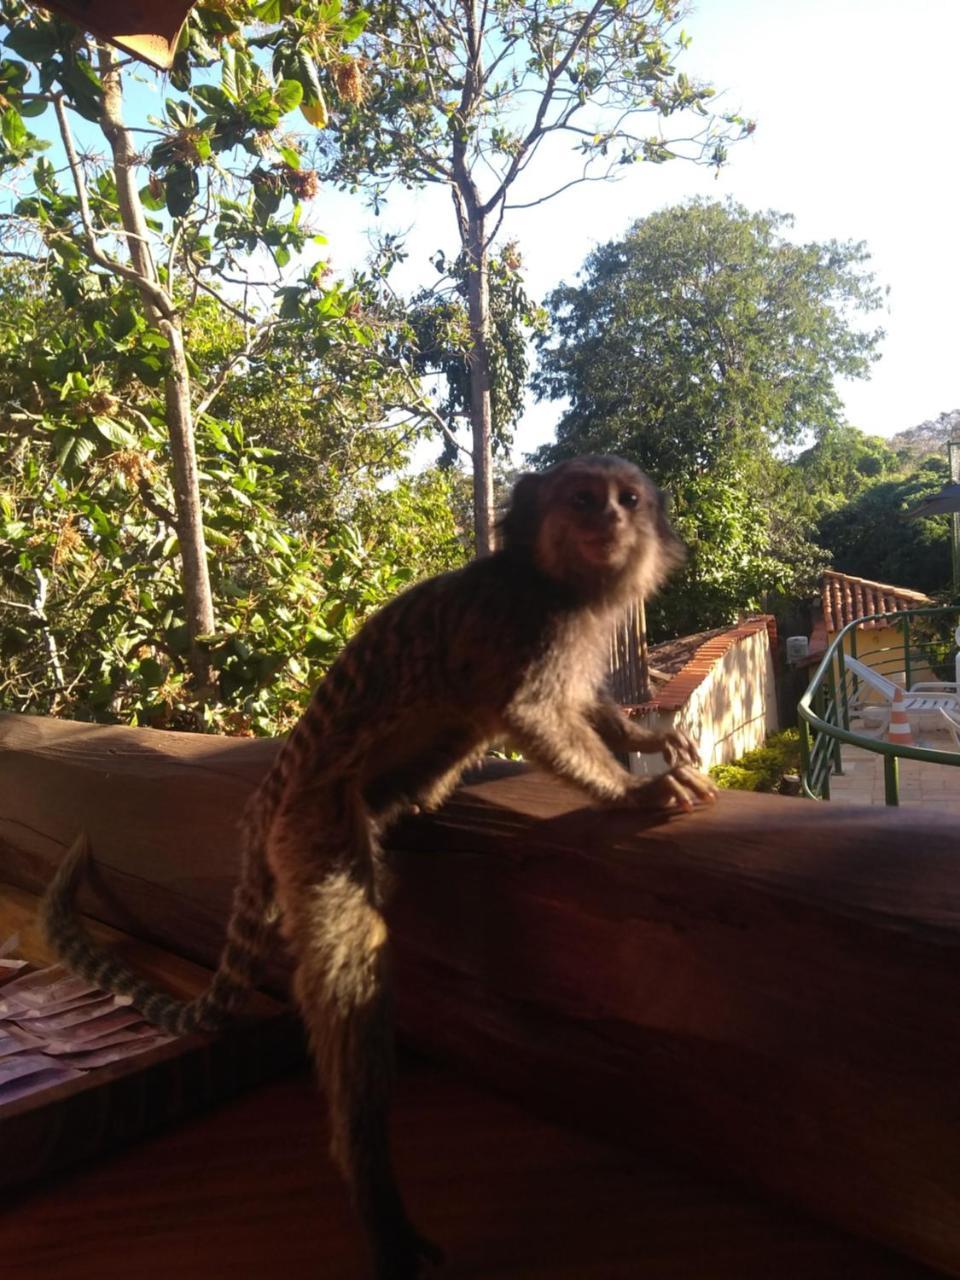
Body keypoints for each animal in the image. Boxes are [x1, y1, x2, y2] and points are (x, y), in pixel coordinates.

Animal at [47, 455, 721, 1274]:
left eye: (627, 499)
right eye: (584, 500)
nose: (612, 521)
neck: (553, 583)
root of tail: (268, 798)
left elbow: (579, 707)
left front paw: (641, 738)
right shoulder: (524, 628)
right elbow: (531, 715)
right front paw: (634, 788)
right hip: (312, 820)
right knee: (350, 965)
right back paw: (375, 1195)